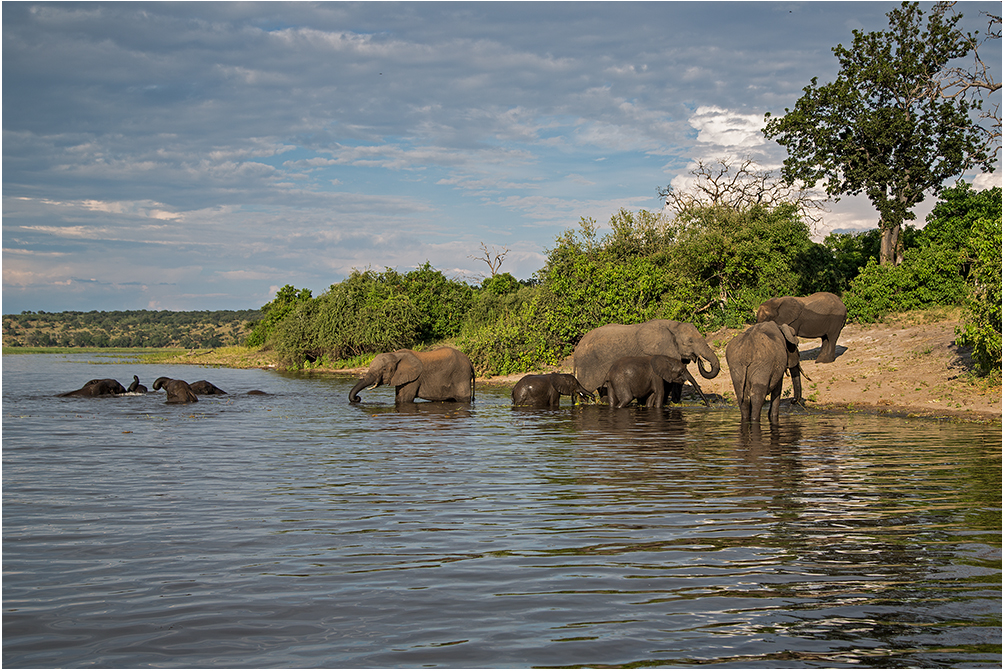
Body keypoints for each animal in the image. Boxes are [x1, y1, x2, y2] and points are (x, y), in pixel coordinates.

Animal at [570, 319, 719, 403]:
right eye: (690, 341)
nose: (699, 360)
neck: (673, 325)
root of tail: (576, 351)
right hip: (588, 364)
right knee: (585, 389)